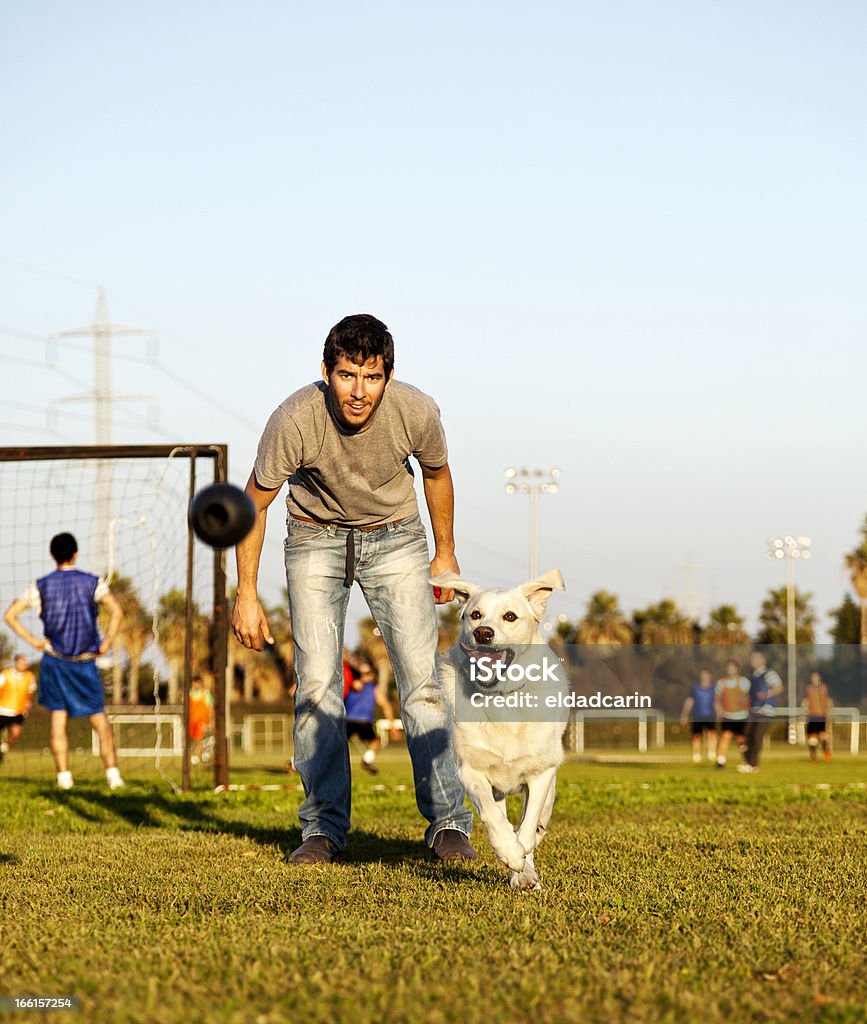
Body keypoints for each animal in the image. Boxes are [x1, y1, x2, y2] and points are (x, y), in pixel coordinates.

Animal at [434, 569, 569, 888]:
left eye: (510, 616)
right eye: (475, 614)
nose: (483, 632)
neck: (501, 696)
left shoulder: (541, 774)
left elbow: (528, 825)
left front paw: (522, 862)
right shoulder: (470, 770)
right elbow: (492, 815)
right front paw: (508, 851)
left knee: (538, 822)